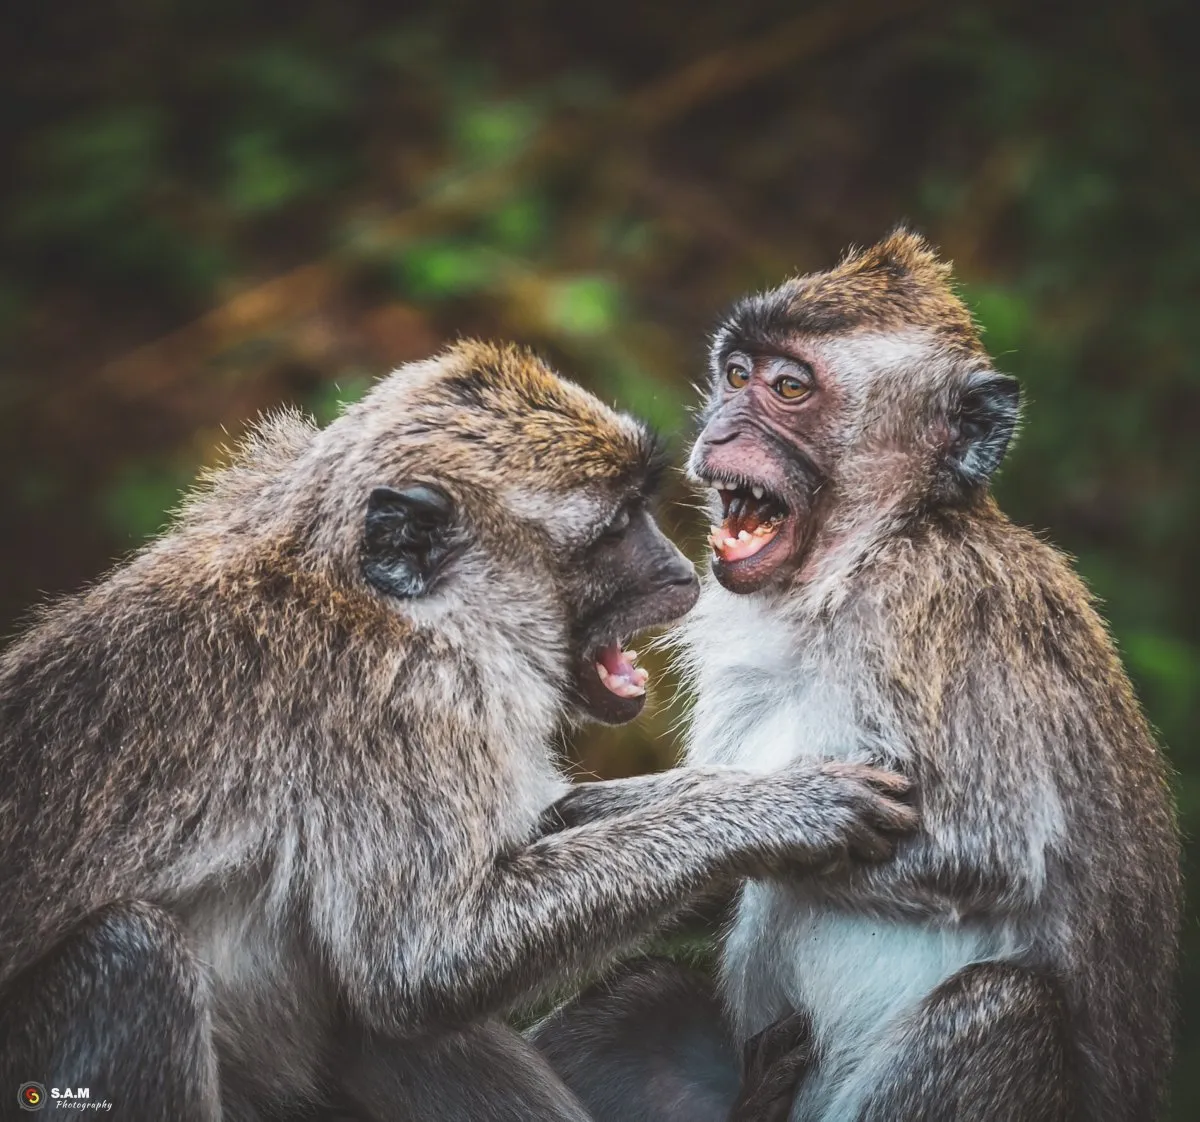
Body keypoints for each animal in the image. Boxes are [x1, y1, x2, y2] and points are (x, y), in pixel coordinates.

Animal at [0, 340, 918, 1122]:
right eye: (616, 528)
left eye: (641, 510)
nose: (679, 574)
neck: (376, 600)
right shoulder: (396, 710)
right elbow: (420, 965)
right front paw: (787, 812)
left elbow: (536, 836)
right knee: (135, 955)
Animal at [530, 232, 1181, 1122]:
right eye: (737, 374)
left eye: (789, 387)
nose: (720, 427)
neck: (852, 566)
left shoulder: (932, 610)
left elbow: (987, 851)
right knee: (644, 995)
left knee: (1002, 1006)